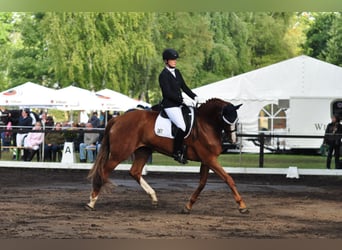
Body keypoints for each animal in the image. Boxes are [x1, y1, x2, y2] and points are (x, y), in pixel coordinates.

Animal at [86, 98, 248, 214]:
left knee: (135, 172)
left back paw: (153, 197)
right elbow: (228, 179)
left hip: (143, 150)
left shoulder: (206, 160)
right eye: (226, 119)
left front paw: (188, 207)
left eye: (236, 120)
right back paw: (91, 202)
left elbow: (202, 184)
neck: (205, 124)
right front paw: (242, 206)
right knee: (103, 172)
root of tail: (117, 119)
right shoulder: (210, 159)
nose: (233, 141)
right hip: (119, 154)